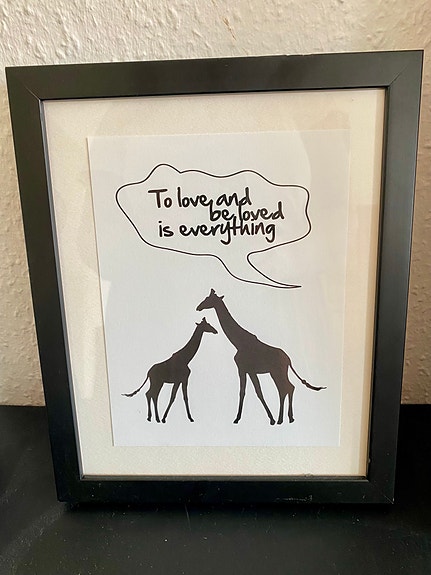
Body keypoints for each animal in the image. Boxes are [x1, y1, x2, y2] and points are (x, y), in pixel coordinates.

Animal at [196, 289, 325, 425]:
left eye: (208, 299)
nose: (198, 307)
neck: (238, 342)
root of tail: (289, 360)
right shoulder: (249, 371)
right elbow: (254, 392)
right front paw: (269, 418)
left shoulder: (244, 369)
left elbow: (249, 392)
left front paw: (240, 418)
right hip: (278, 372)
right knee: (288, 388)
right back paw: (287, 418)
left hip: (277, 372)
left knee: (285, 388)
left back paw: (281, 419)